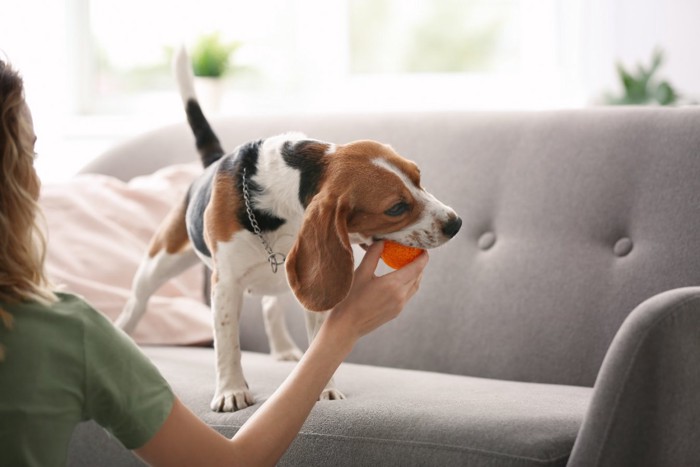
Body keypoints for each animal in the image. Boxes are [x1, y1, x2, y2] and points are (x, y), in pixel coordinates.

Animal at [117, 48, 462, 414]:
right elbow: (227, 342)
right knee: (136, 303)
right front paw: (231, 390)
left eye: (418, 178)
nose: (456, 223)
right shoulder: (225, 285)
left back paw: (283, 349)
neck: (284, 192)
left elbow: (319, 343)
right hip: (159, 262)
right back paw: (123, 332)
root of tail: (213, 161)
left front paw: (324, 387)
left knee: (271, 305)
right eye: (395, 208)